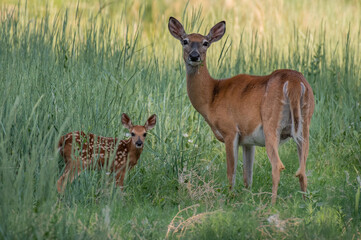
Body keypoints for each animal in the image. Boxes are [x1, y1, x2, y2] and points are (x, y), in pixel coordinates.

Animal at [167, 16, 314, 203]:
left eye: (205, 43)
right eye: (185, 41)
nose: (194, 56)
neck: (212, 96)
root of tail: (294, 82)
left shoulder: (230, 130)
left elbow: (231, 172)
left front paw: (230, 197)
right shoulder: (248, 140)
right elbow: (247, 176)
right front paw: (247, 197)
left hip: (271, 123)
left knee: (278, 166)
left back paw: (272, 204)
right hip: (305, 123)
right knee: (302, 170)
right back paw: (304, 203)